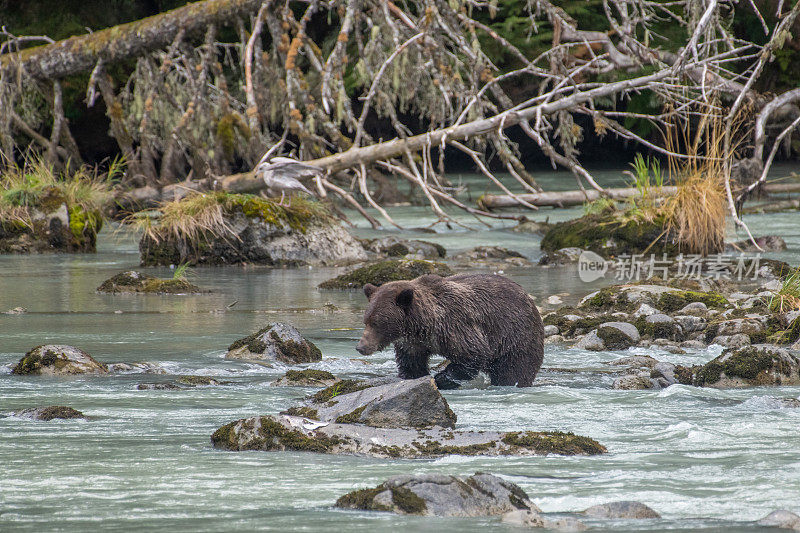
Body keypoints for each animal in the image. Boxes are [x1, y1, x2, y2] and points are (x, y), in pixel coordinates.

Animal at [356, 274, 544, 386]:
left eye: (377, 323)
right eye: (366, 320)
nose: (361, 347)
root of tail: (529, 298)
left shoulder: (456, 325)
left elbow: (473, 354)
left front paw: (441, 378)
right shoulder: (412, 343)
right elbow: (411, 364)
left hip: (515, 337)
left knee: (515, 370)